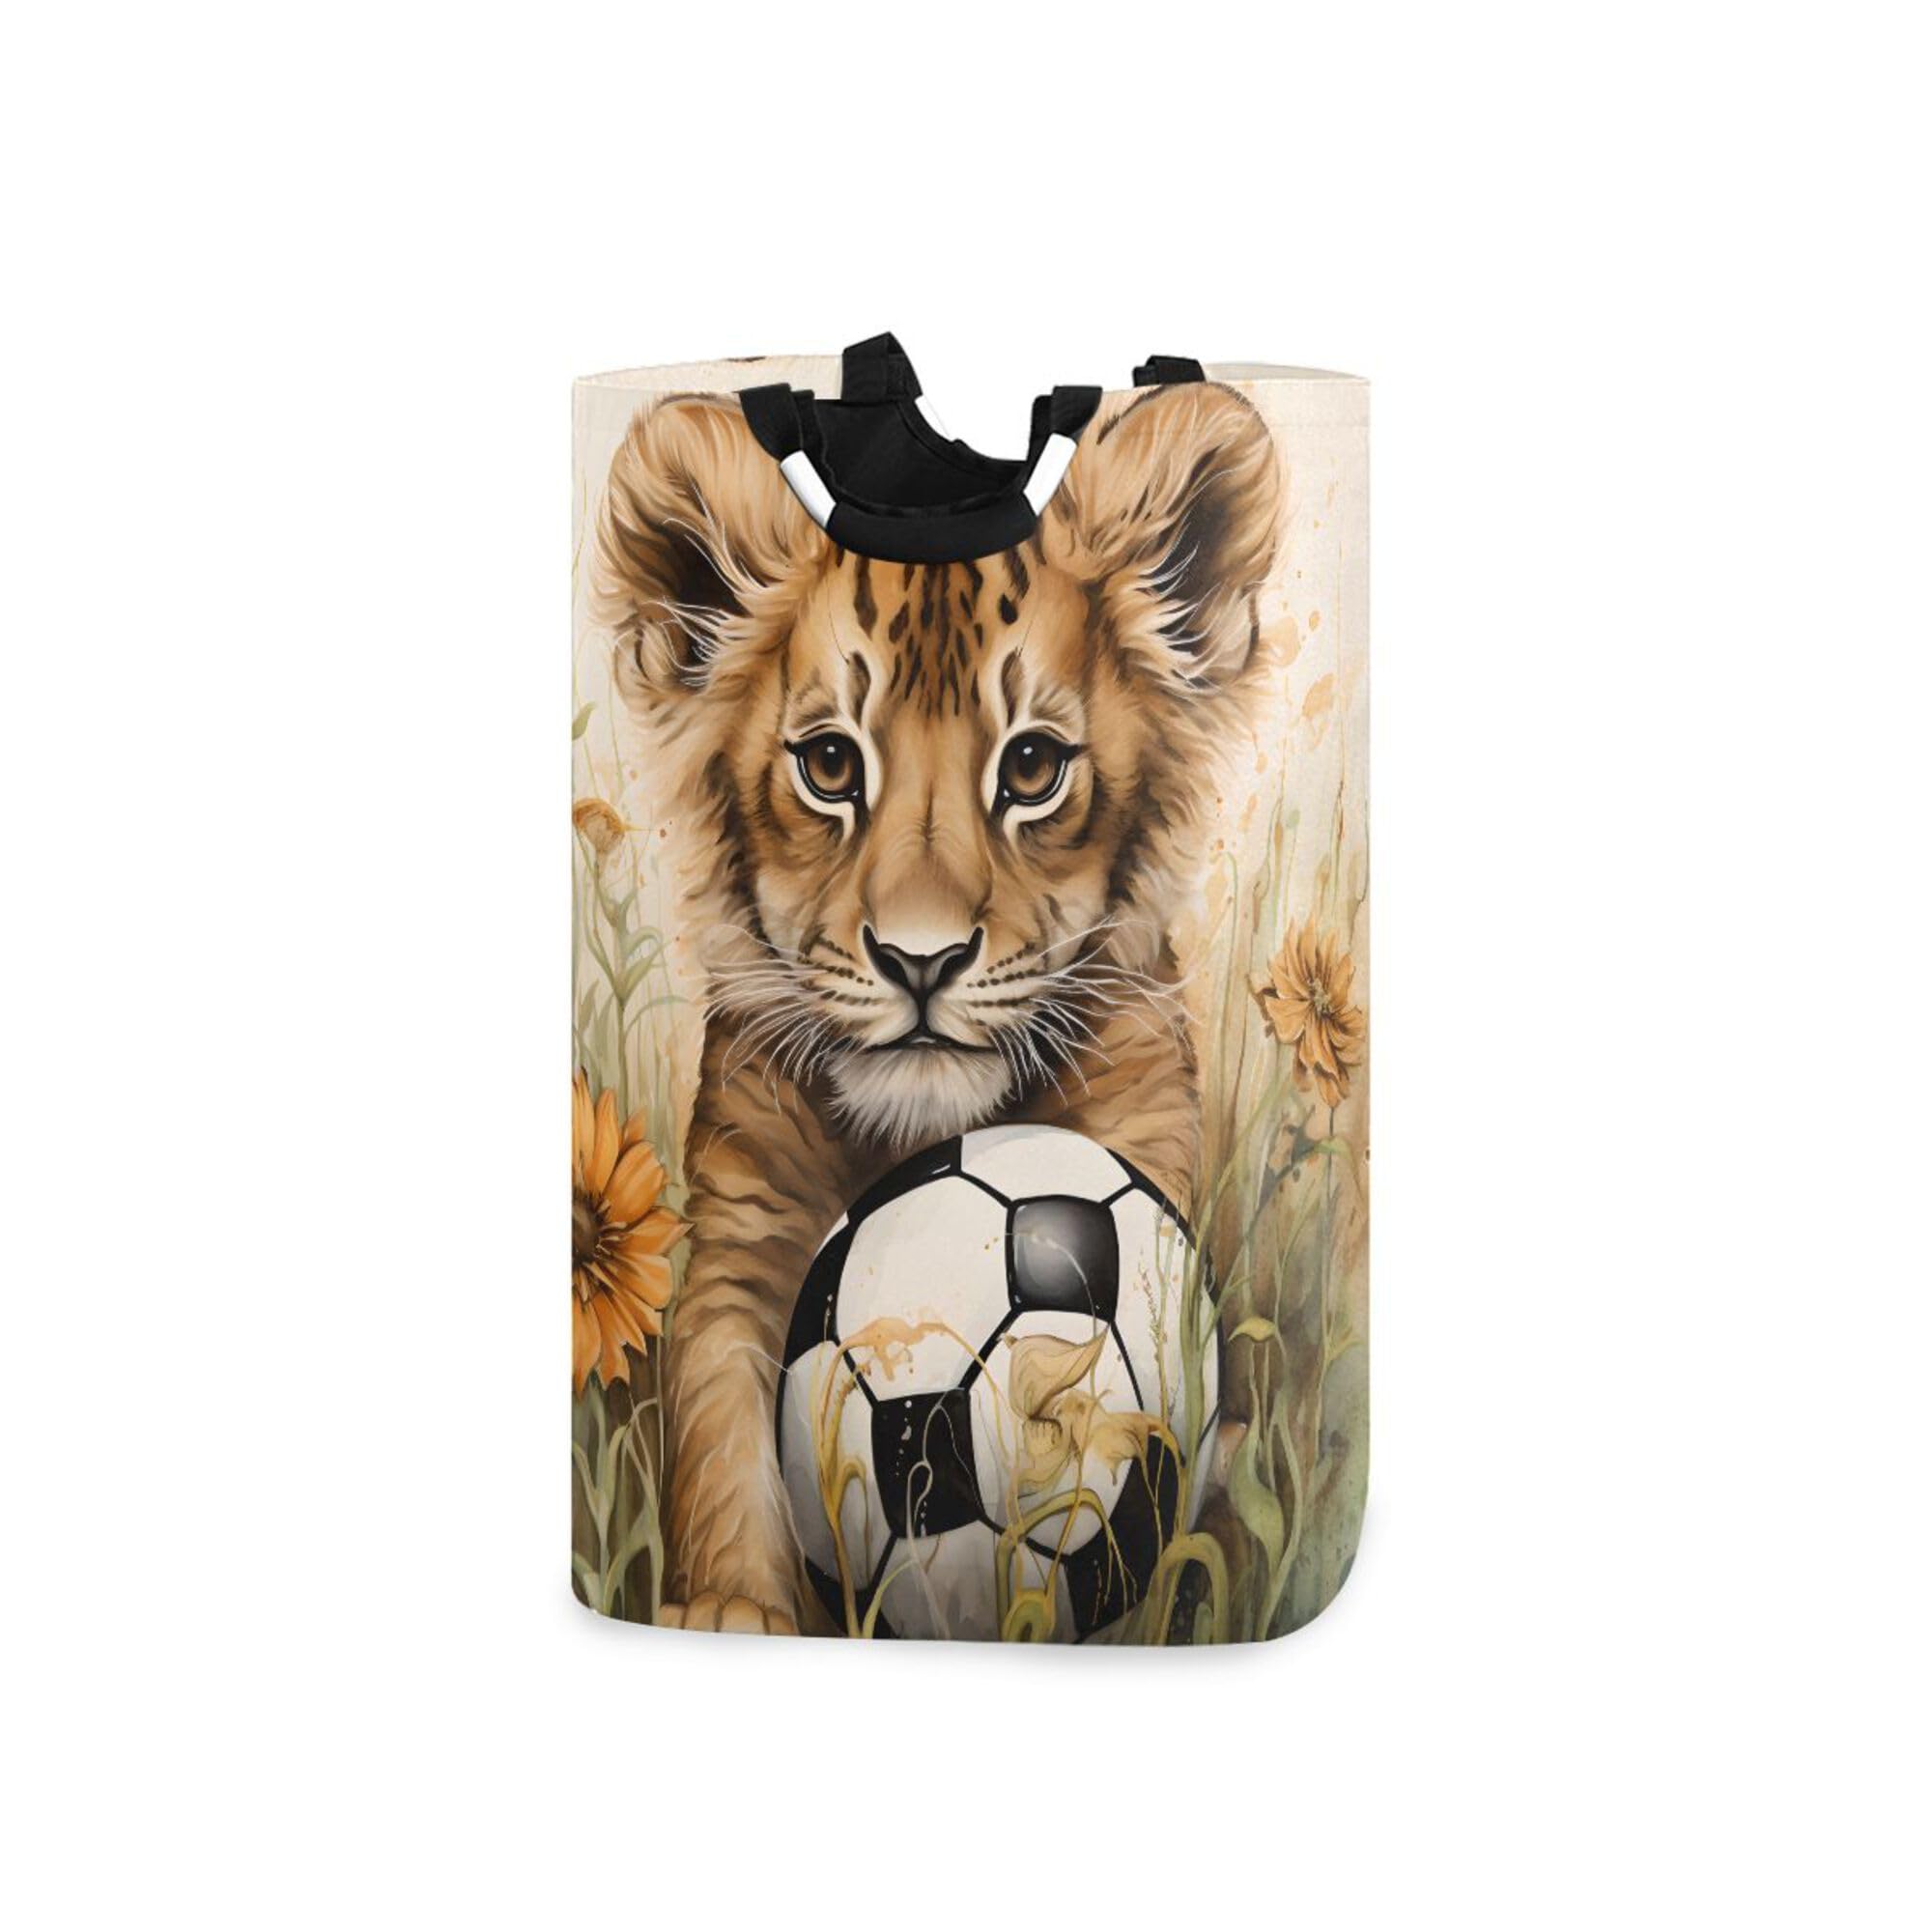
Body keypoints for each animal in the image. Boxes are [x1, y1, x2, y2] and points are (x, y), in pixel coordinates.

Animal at [591, 380, 1281, 1633]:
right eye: (826, 765)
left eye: (1030, 769)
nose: (922, 960)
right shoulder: (737, 1240)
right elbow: (719, 1436)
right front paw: (729, 1610)